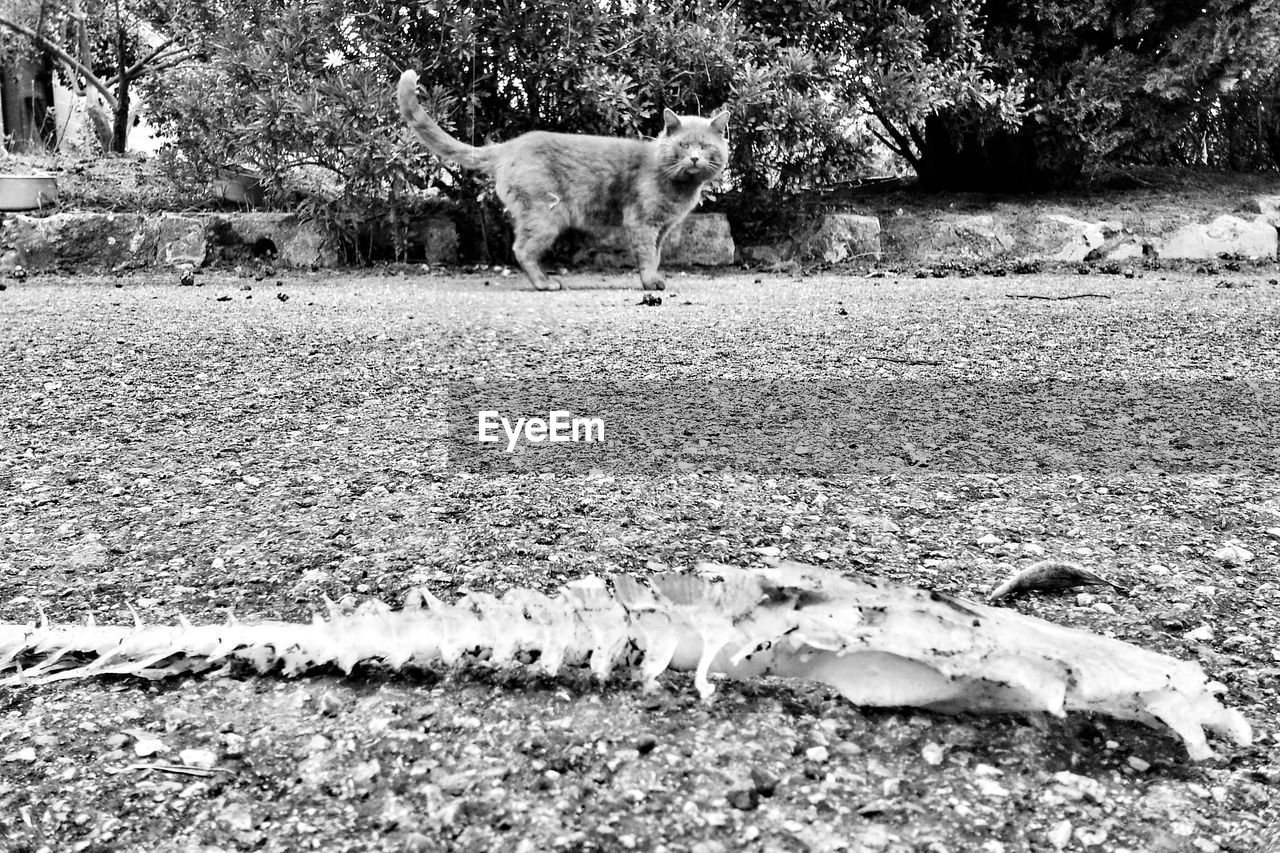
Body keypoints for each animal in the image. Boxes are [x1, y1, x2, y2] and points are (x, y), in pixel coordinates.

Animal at [394, 68, 727, 292]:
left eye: (704, 146)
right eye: (684, 145)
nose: (694, 158)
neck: (680, 189)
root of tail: (510, 144)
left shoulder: (663, 228)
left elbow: (656, 255)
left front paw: (656, 277)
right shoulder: (642, 222)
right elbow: (646, 255)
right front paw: (650, 282)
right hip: (546, 213)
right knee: (522, 249)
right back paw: (545, 283)